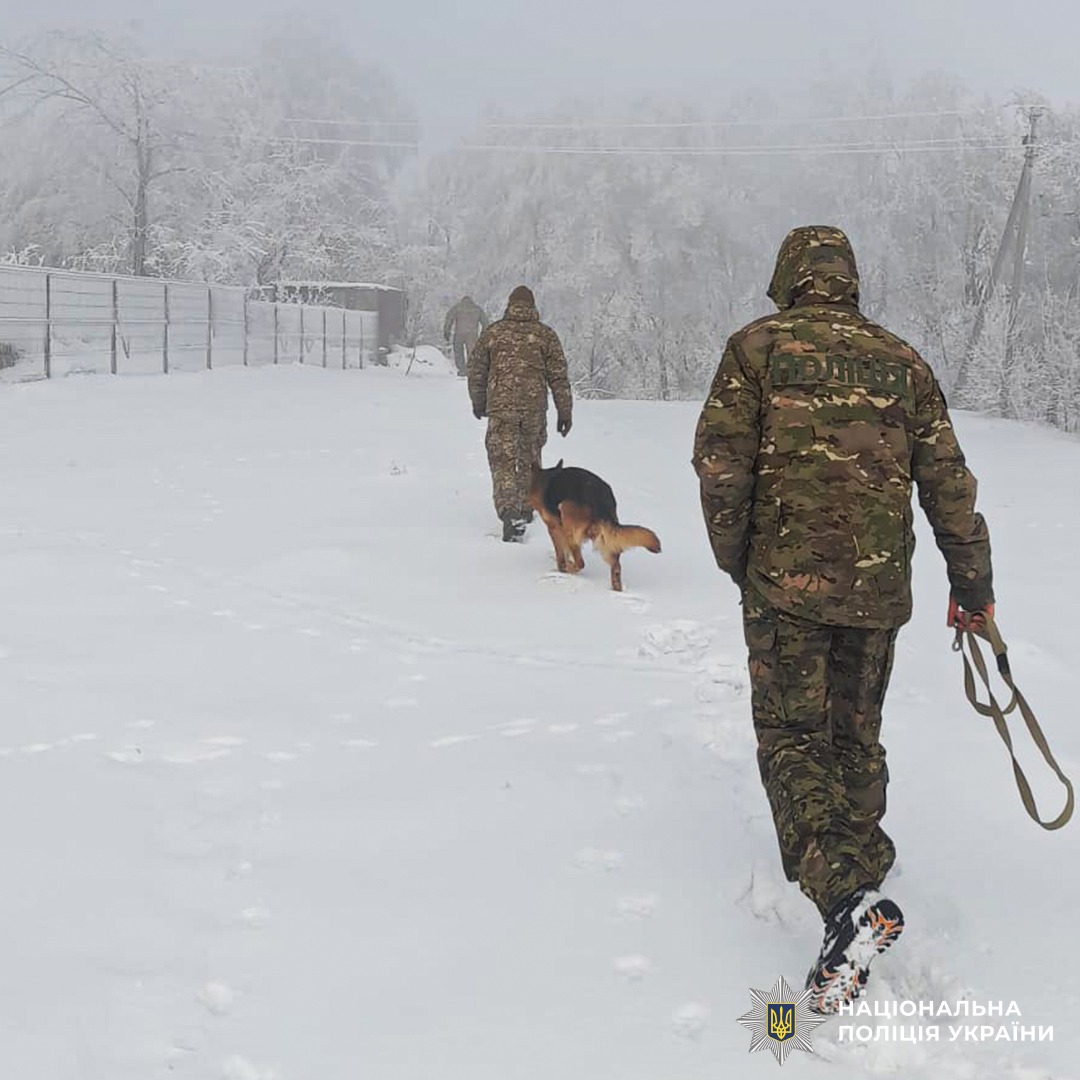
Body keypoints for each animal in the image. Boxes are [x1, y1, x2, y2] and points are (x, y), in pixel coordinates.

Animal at [527, 459, 661, 592]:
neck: (544, 479)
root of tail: (601, 499)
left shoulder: (554, 528)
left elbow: (560, 553)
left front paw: (561, 568)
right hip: (604, 539)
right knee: (616, 566)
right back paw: (616, 589)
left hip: (568, 522)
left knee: (581, 562)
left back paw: (569, 569)